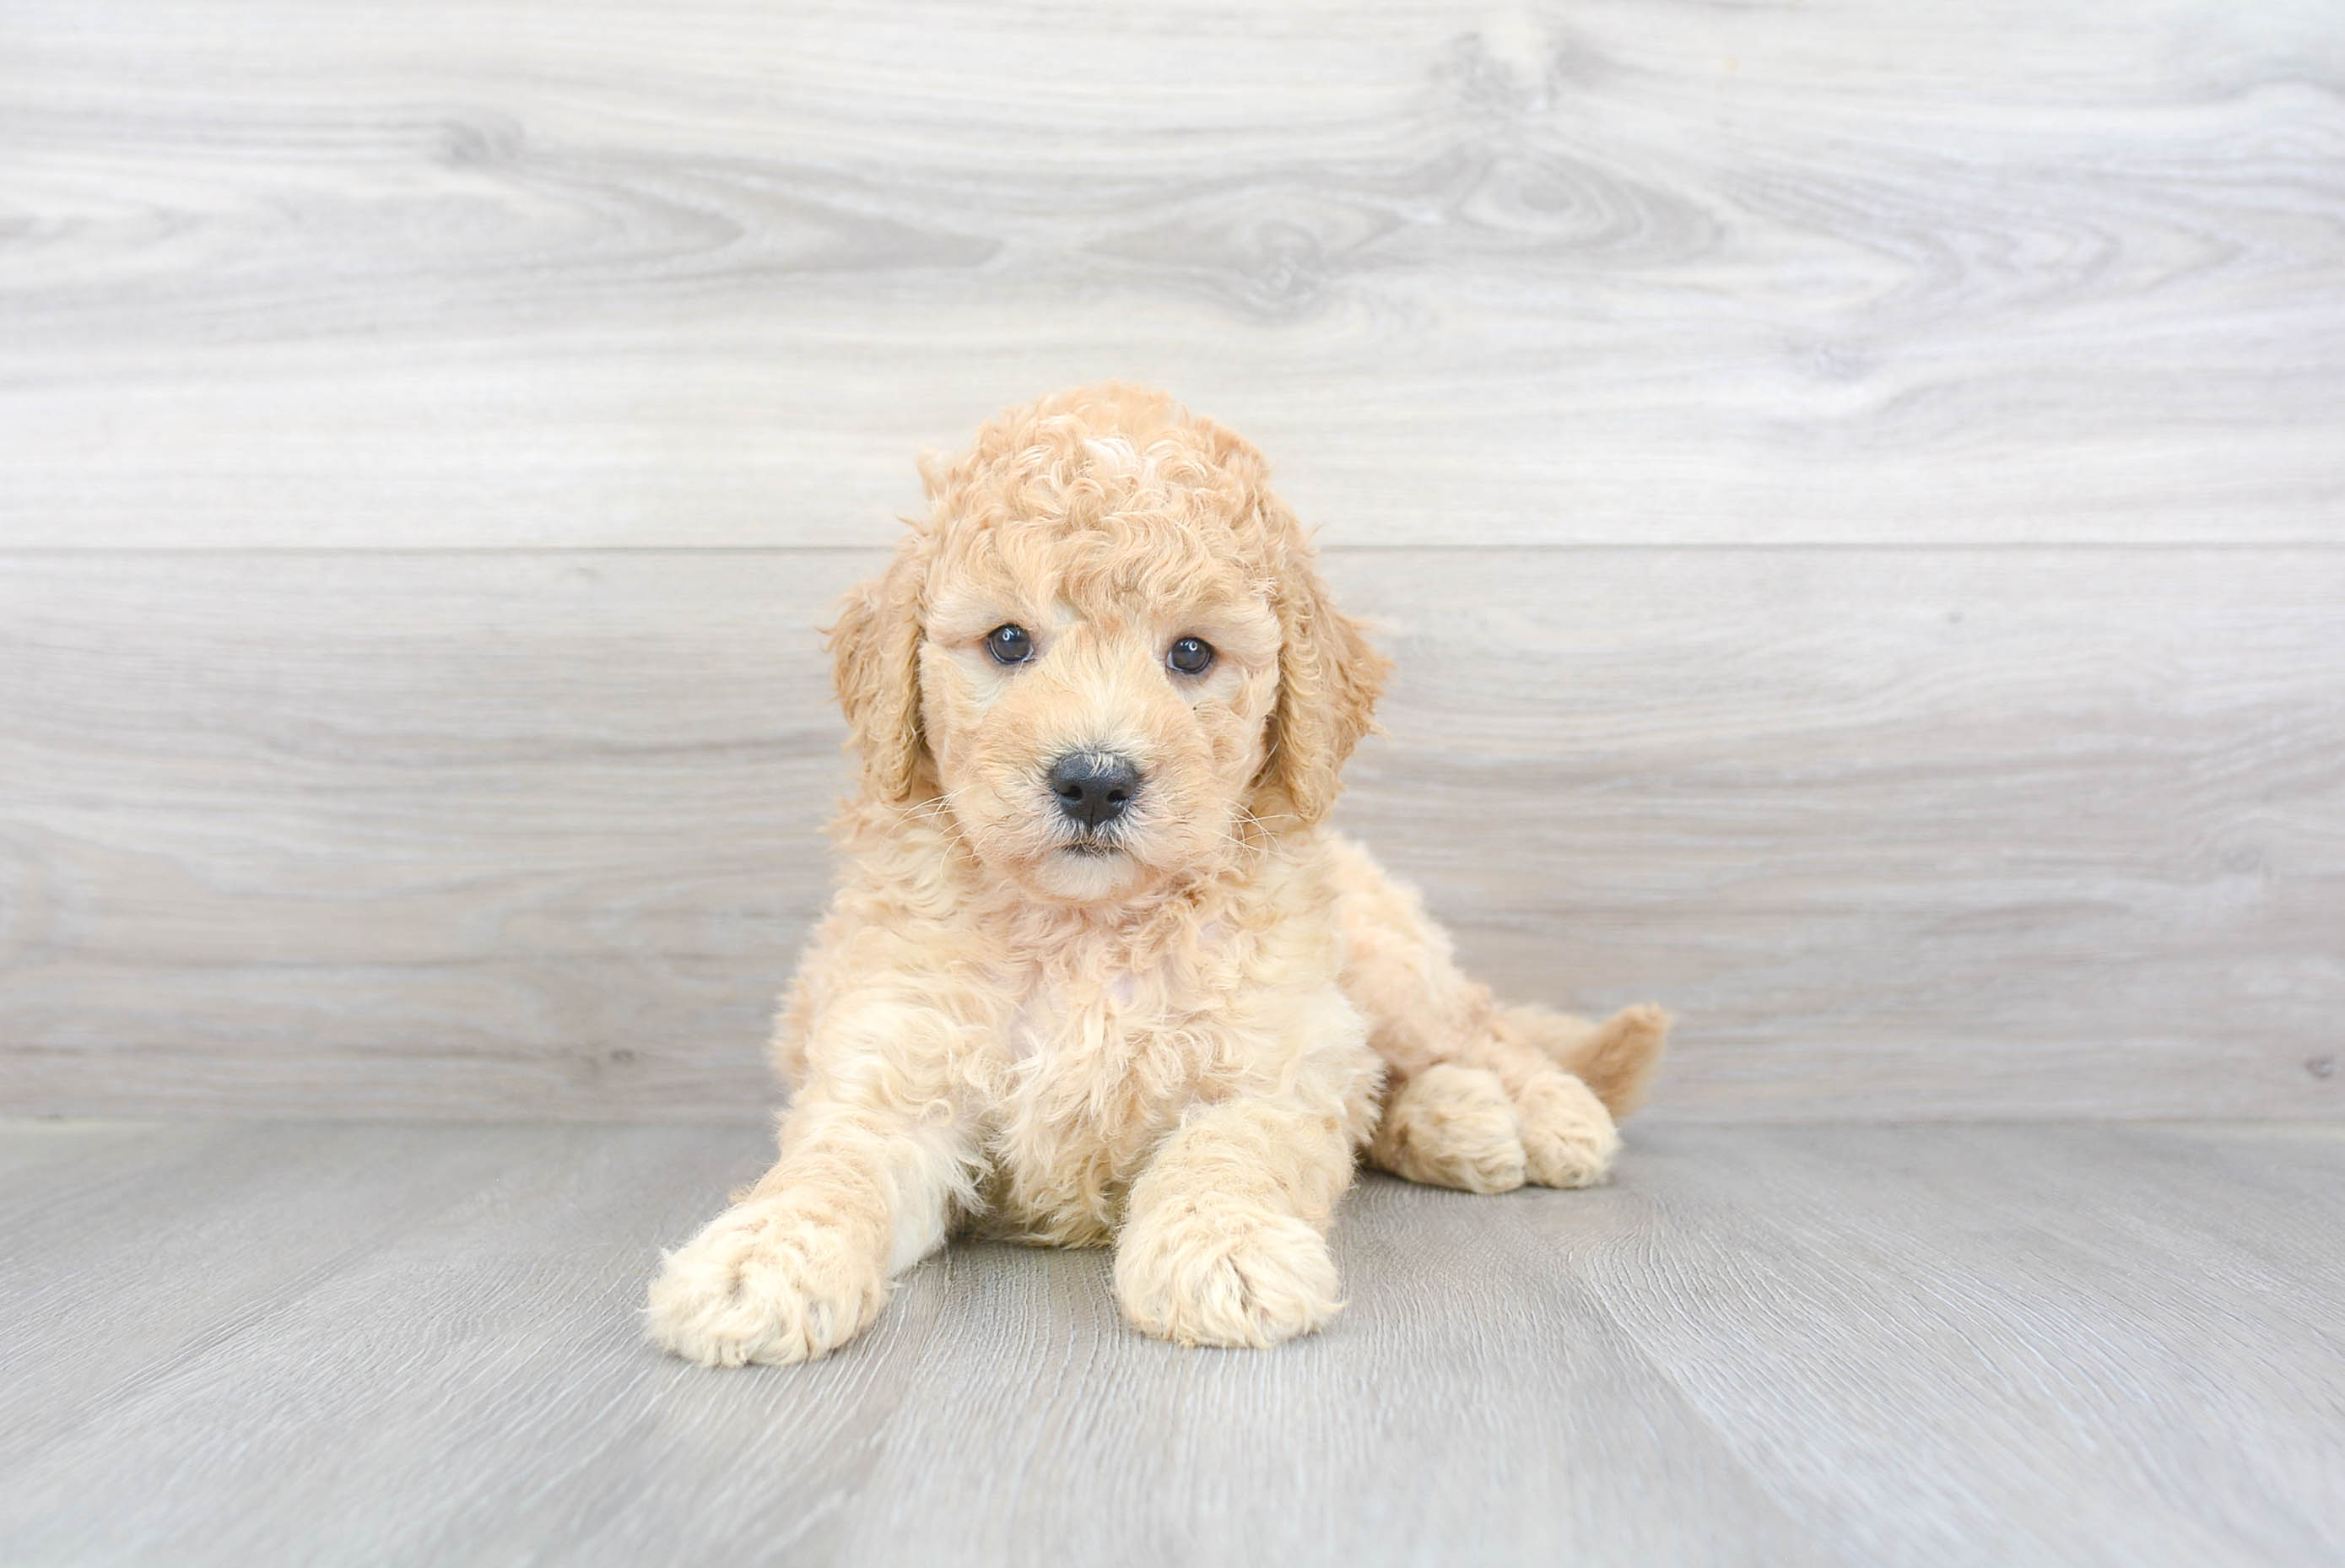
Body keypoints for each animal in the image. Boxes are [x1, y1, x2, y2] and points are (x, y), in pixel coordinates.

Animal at [647, 381, 1669, 1359]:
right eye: (1008, 641)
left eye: (1190, 653)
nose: (1095, 782)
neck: (1086, 928)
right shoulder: (890, 1060)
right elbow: (833, 1165)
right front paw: (761, 1261)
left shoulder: (1268, 1058)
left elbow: (1228, 1151)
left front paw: (1225, 1251)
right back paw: (1461, 1120)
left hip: (1385, 966)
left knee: (1479, 1033)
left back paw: (1540, 1113)